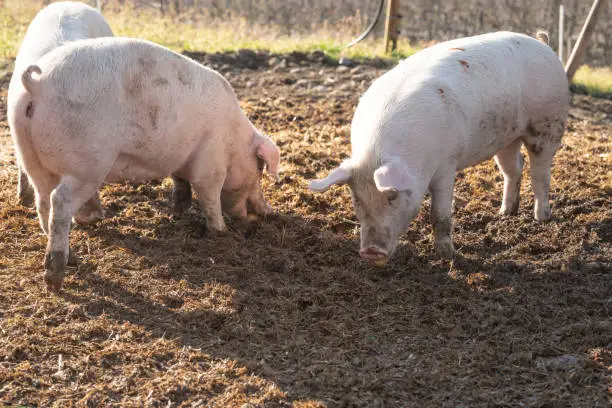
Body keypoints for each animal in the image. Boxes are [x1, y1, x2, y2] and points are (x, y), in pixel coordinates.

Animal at [12, 38, 280, 292]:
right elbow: (210, 197)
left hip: (29, 156)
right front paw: (221, 232)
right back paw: (56, 280)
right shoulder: (210, 161)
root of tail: (38, 84)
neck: (234, 139)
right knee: (59, 202)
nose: (267, 212)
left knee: (42, 203)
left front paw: (179, 211)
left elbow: (180, 182)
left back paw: (72, 259)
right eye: (259, 168)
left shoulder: (181, 159)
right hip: (86, 165)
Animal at [310, 32, 568, 268]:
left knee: (540, 174)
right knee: (513, 169)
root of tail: (543, 44)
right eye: (356, 198)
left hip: (547, 124)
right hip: (506, 138)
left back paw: (541, 217)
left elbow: (440, 215)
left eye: (392, 196)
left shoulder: (446, 164)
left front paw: (448, 256)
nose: (371, 252)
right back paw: (505, 213)